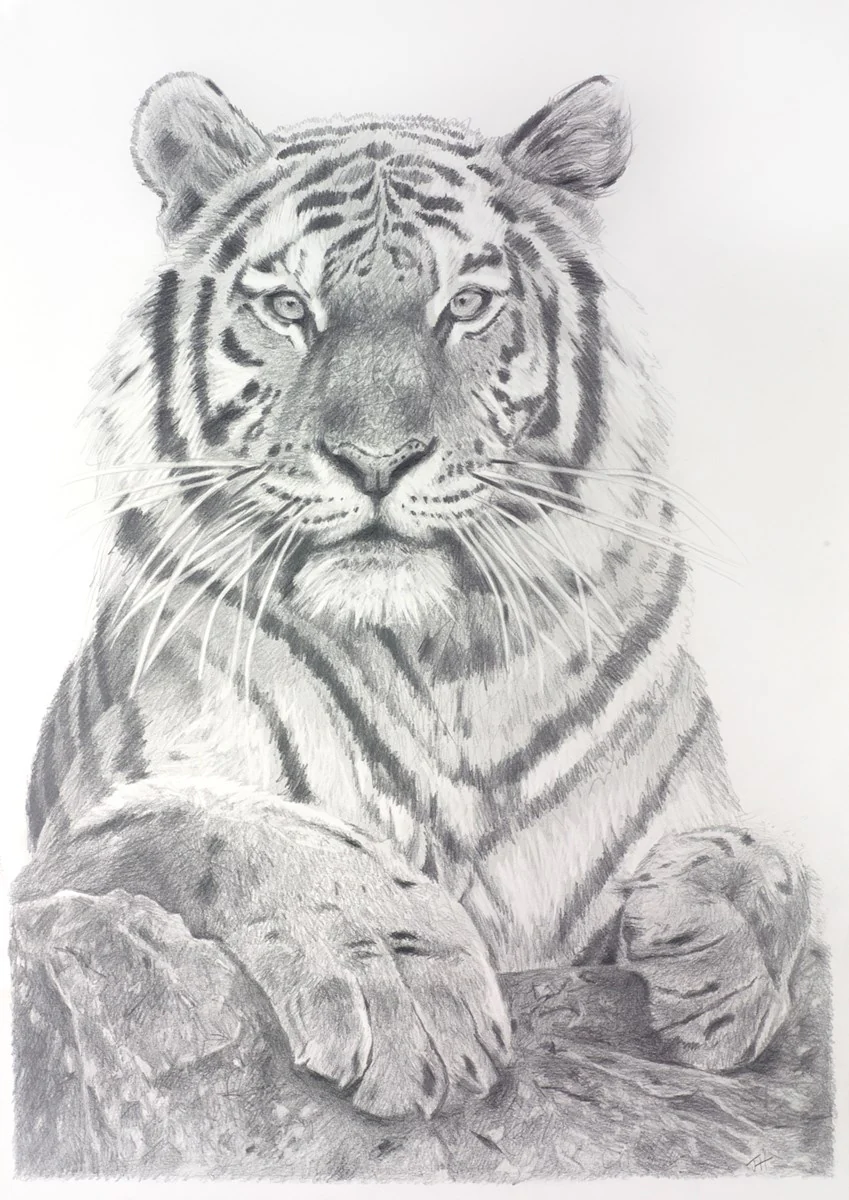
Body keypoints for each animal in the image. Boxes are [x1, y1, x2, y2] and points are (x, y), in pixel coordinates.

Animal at [15, 71, 811, 1122]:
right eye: (290, 306)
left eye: (464, 304)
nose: (375, 461)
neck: (449, 660)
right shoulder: (72, 846)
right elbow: (258, 830)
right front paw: (405, 992)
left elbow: (775, 859)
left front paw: (725, 964)